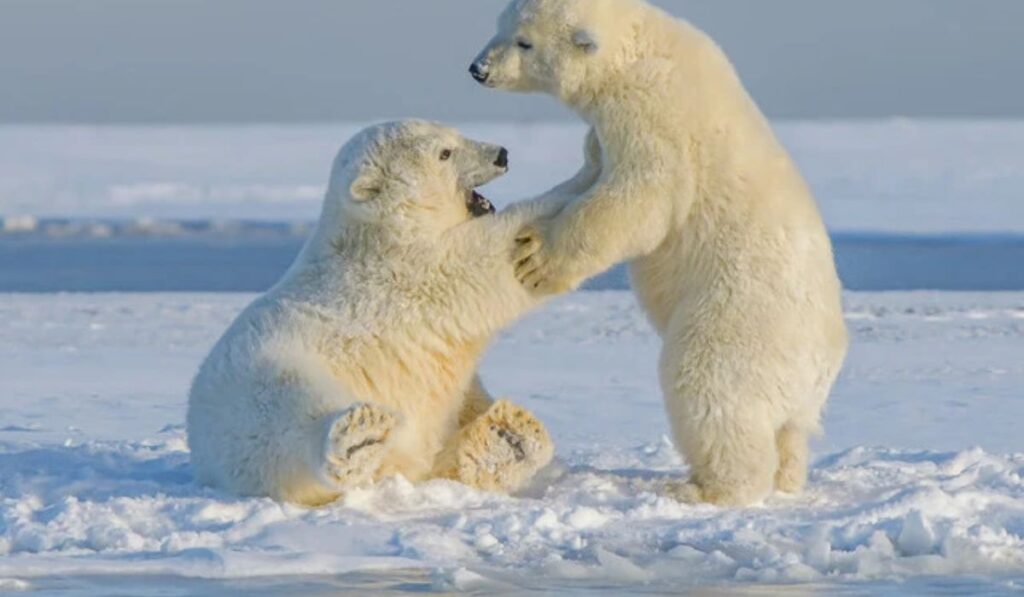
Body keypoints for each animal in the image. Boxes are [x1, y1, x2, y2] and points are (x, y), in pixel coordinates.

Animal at [187, 121, 560, 507]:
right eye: (444, 152)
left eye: (456, 134)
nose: (501, 154)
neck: (378, 232)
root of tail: (201, 448)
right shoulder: (407, 272)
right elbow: (480, 262)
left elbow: (461, 397)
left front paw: (506, 435)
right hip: (262, 379)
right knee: (287, 414)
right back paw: (357, 438)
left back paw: (508, 434)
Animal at [471, 0, 849, 506]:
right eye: (501, 25)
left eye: (524, 42)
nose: (479, 69)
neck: (638, 48)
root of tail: (822, 364)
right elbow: (595, 170)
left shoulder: (653, 118)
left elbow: (638, 198)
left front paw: (535, 256)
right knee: (788, 431)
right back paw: (786, 478)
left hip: (739, 321)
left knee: (710, 389)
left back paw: (704, 488)